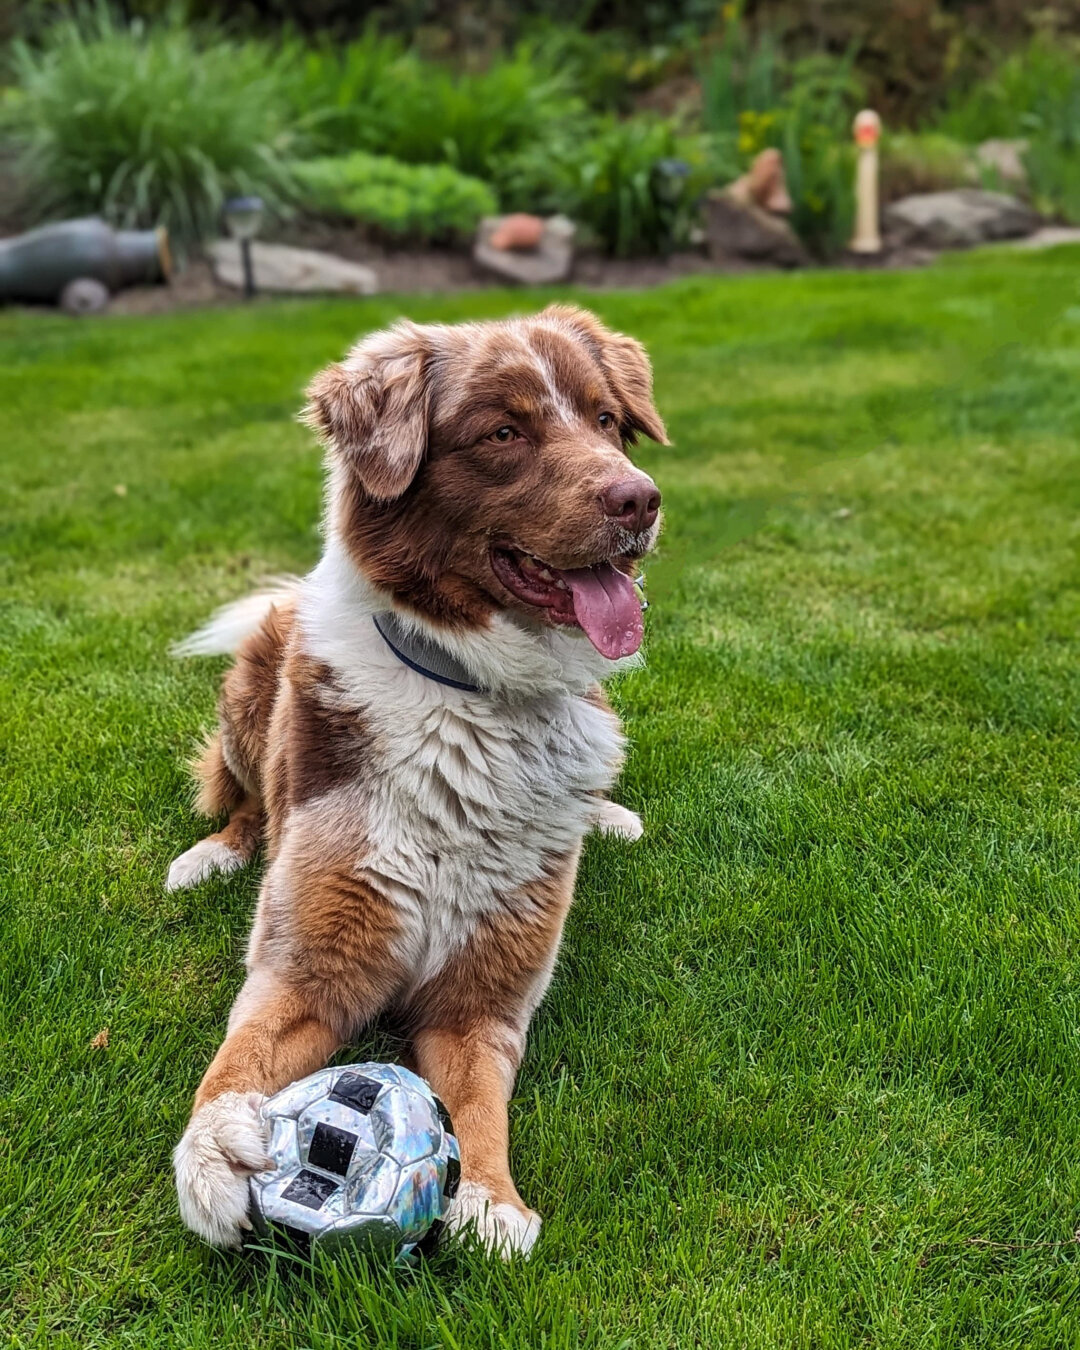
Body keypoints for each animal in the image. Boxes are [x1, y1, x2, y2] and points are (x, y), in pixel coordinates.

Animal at [166, 303, 666, 1252]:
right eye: (504, 432)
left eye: (606, 420)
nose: (641, 499)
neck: (470, 692)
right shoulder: (304, 968)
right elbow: (235, 1058)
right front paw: (209, 1154)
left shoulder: (484, 1001)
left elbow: (477, 1104)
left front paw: (492, 1201)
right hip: (252, 683)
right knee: (242, 800)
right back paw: (210, 854)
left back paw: (608, 817)